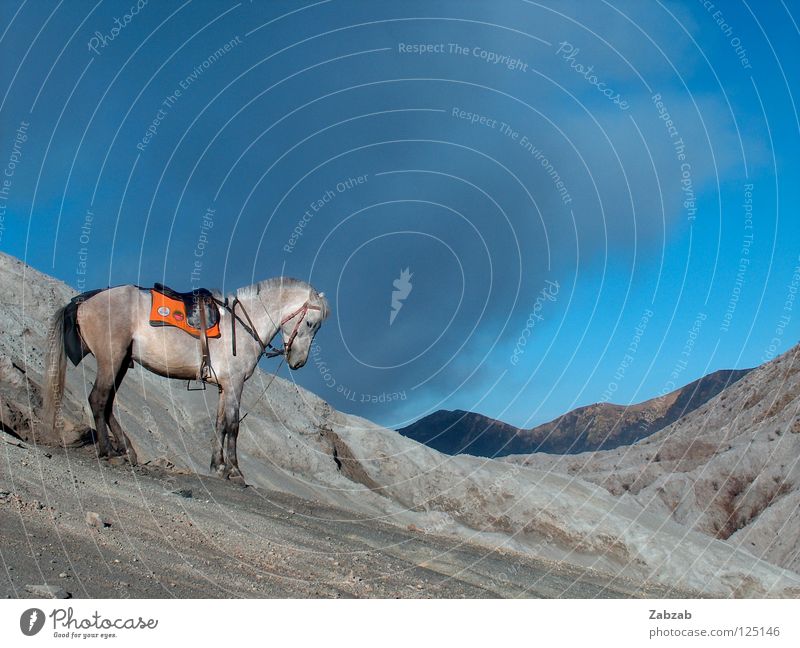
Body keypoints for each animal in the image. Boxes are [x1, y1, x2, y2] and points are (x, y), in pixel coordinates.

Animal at [39, 276, 328, 484]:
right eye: (311, 323)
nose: (298, 362)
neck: (242, 324)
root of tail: (85, 300)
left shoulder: (224, 387)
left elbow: (220, 424)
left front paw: (218, 466)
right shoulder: (235, 385)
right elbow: (233, 426)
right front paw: (235, 471)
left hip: (121, 364)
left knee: (107, 403)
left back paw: (127, 450)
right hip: (111, 360)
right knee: (98, 400)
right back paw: (109, 452)